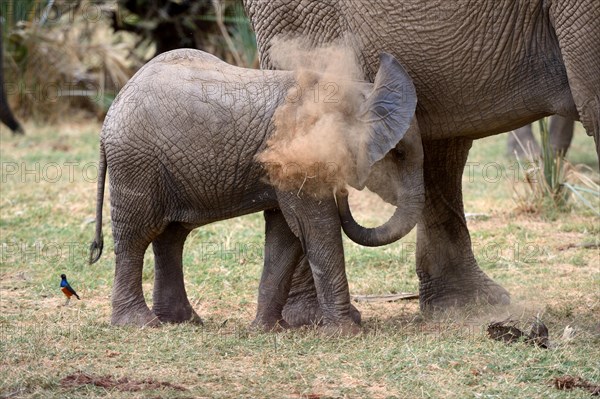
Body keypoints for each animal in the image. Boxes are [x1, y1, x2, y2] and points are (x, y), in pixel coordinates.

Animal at [91, 48, 424, 332]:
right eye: (398, 153)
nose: (343, 190)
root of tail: (111, 114)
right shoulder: (299, 153)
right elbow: (316, 227)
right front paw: (346, 332)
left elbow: (286, 235)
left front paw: (268, 330)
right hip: (136, 162)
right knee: (136, 237)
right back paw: (139, 324)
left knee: (171, 236)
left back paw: (183, 321)